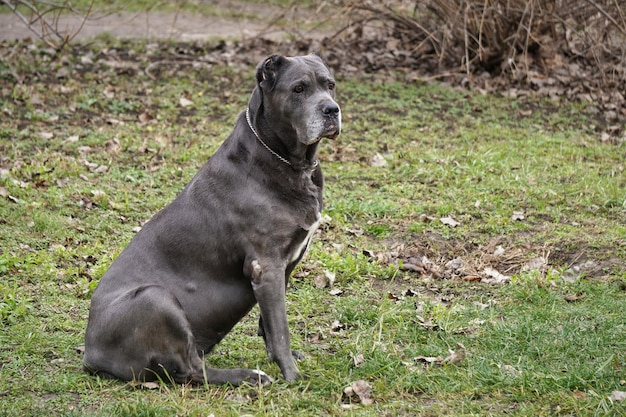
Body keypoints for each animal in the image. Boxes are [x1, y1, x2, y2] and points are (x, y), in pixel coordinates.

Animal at [83, 53, 342, 386]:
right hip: (155, 298)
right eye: (299, 88)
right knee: (193, 370)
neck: (290, 162)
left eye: (329, 85)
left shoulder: (281, 268)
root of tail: (91, 355)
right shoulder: (266, 265)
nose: (331, 109)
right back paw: (250, 376)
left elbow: (270, 324)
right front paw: (292, 375)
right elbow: (280, 328)